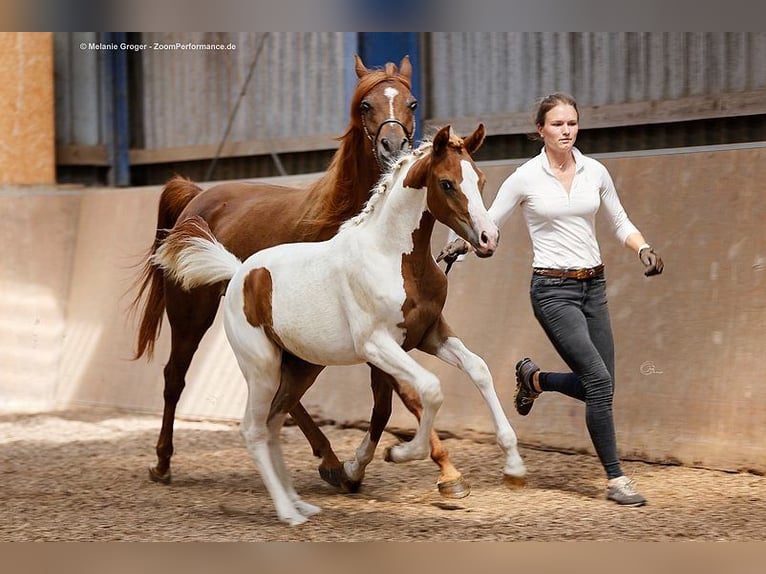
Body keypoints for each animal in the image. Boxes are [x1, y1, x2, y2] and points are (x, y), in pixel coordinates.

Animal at [130, 57, 472, 496]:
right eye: (365, 105)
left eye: (411, 102)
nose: (393, 146)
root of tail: (197, 196)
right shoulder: (371, 333)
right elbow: (408, 394)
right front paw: (447, 470)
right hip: (191, 314)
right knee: (175, 376)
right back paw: (162, 462)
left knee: (283, 392)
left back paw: (330, 462)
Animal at [153, 126, 532, 528]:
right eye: (446, 183)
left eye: (481, 179)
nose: (489, 239)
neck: (392, 257)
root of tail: (239, 271)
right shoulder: (377, 345)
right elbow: (428, 389)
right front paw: (400, 453)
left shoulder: (430, 334)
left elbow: (479, 369)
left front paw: (514, 467)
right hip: (261, 367)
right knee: (252, 427)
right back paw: (287, 511)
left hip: (301, 368)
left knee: (273, 423)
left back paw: (302, 500)